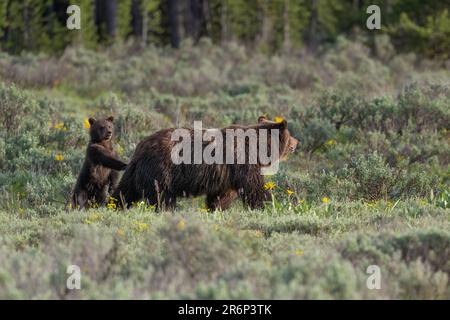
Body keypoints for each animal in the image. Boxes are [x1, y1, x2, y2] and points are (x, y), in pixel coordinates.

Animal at [114, 115, 298, 210]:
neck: (260, 147)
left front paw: (216, 208)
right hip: (161, 170)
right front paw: (265, 206)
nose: (296, 143)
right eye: (290, 136)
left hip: (136, 171)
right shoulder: (242, 161)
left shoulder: (225, 175)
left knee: (125, 191)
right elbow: (253, 188)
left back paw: (115, 205)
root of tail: (141, 146)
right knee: (162, 195)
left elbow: (221, 195)